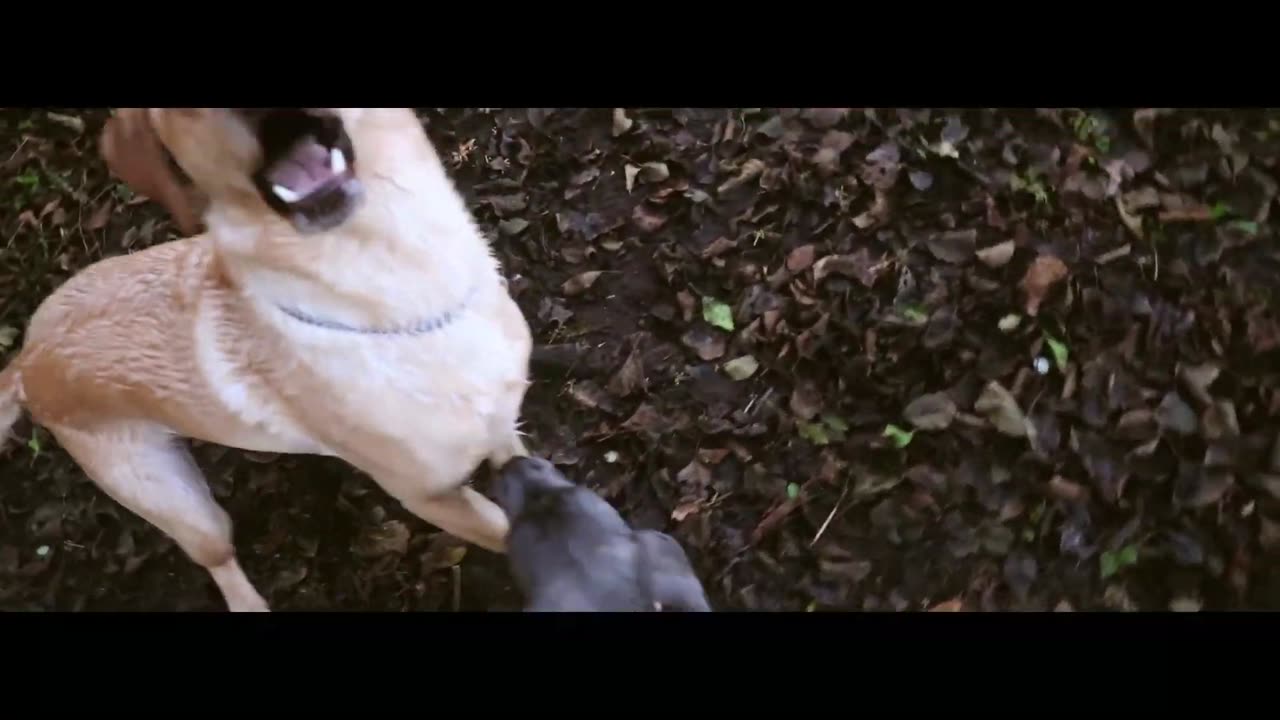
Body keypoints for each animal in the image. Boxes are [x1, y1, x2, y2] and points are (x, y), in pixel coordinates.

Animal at [0, 109, 529, 607]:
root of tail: (26, 364)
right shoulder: (430, 497)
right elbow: (506, 532)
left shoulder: (503, 426)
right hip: (181, 505)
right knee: (219, 560)